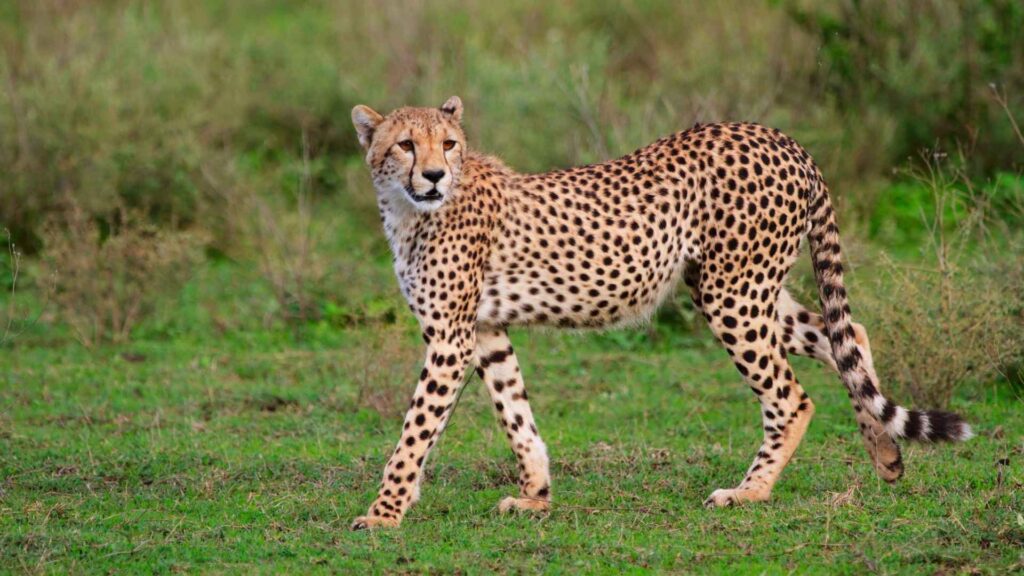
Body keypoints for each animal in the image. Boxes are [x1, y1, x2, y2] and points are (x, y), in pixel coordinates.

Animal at [348, 96, 972, 530]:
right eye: (405, 145)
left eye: (449, 144)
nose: (433, 175)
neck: (409, 210)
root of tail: (780, 137)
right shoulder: (484, 330)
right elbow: (515, 412)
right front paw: (536, 495)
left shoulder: (450, 339)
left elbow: (414, 433)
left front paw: (383, 513)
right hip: (744, 288)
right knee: (848, 335)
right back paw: (885, 454)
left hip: (731, 293)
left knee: (792, 396)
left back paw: (749, 492)